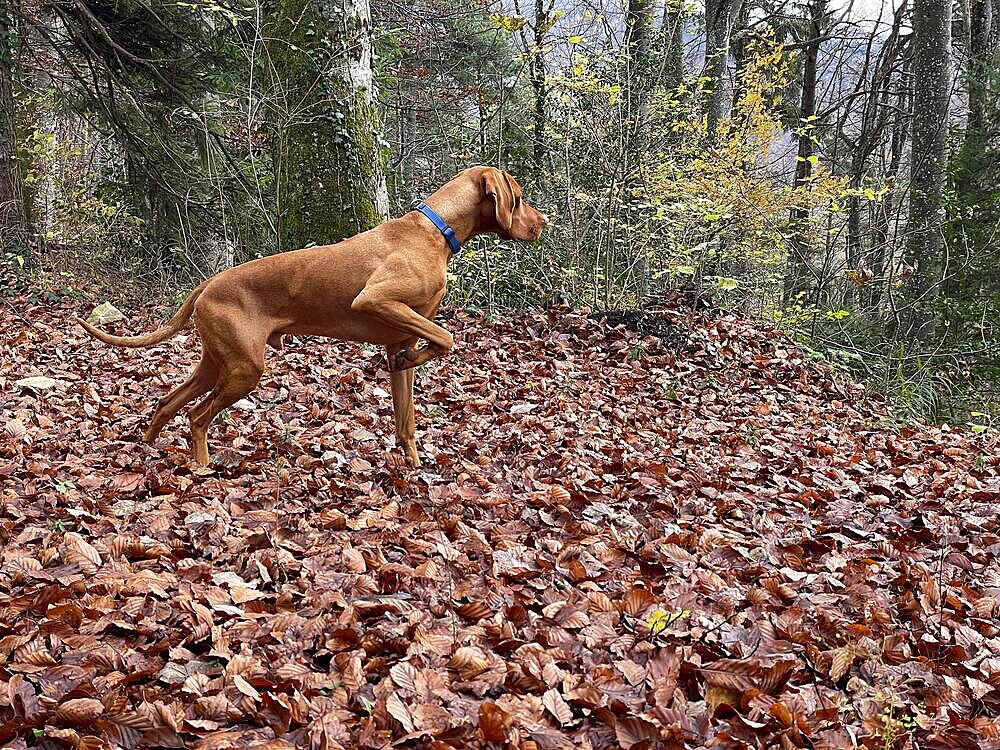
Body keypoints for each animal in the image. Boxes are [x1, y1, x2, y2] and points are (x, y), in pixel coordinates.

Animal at [77, 167, 548, 468]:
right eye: (520, 198)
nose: (543, 222)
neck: (435, 230)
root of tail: (208, 284)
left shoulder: (400, 340)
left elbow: (407, 417)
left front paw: (414, 466)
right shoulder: (375, 300)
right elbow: (446, 338)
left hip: (218, 361)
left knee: (167, 402)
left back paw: (147, 451)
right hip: (244, 369)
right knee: (196, 416)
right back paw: (203, 468)